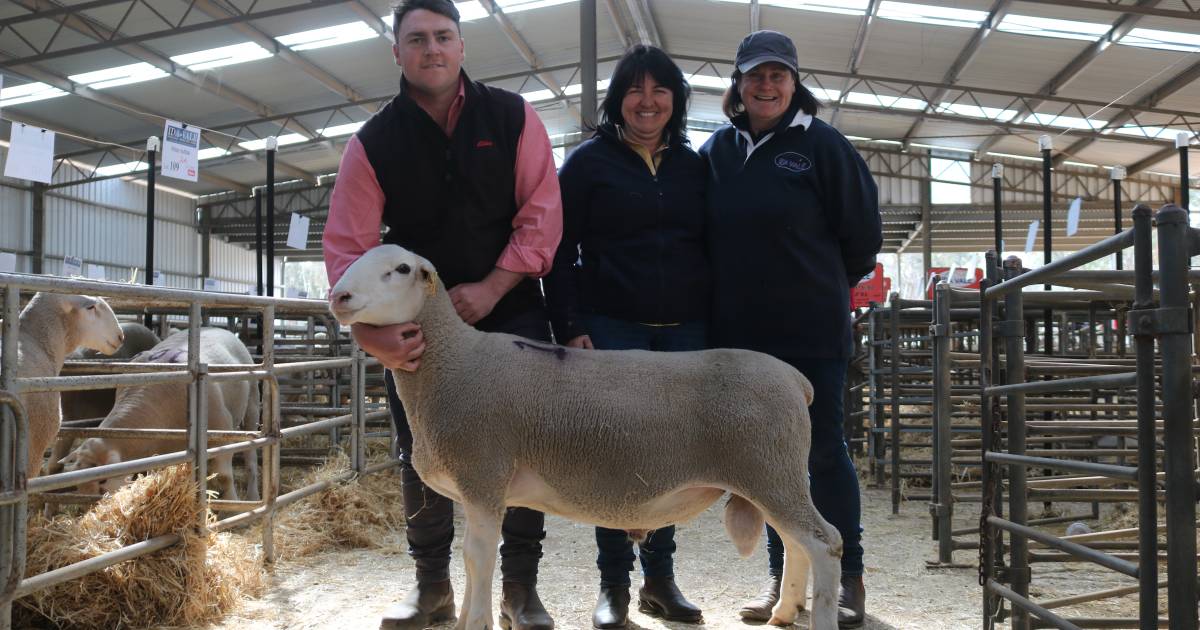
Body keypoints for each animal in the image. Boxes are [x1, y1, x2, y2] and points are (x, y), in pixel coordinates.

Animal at [57, 326, 260, 499]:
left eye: (102, 481)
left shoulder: (222, 428)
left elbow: (224, 477)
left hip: (251, 405)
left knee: (251, 456)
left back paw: (253, 496)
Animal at [324, 244, 840, 628]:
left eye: (401, 269)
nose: (340, 296)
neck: (454, 362)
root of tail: (796, 379)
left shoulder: (484, 476)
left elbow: (477, 558)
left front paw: (476, 621)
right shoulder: (477, 489)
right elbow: (470, 559)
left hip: (769, 469)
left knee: (825, 542)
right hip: (774, 475)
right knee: (797, 543)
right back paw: (783, 611)